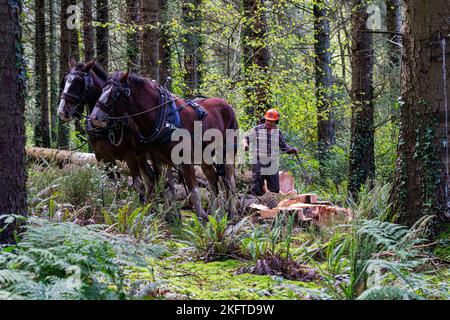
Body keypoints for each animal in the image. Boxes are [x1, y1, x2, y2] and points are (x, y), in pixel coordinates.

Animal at [57, 58, 156, 201]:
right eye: (65, 81)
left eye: (79, 82)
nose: (62, 111)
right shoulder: (102, 157)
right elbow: (114, 185)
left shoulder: (130, 155)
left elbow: (138, 185)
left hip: (142, 154)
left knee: (150, 179)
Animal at [89, 71, 241, 219]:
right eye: (102, 90)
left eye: (115, 94)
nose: (93, 118)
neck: (164, 119)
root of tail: (226, 104)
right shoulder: (159, 160)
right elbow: (169, 191)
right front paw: (175, 218)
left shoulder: (185, 161)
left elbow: (194, 192)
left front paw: (202, 219)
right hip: (205, 156)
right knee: (213, 180)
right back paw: (217, 213)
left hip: (228, 153)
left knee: (230, 182)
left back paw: (232, 213)